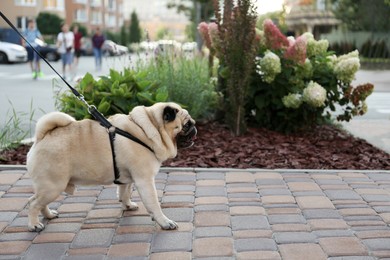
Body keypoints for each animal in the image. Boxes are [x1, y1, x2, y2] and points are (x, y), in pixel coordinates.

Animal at [27, 101, 197, 232]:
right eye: (186, 125)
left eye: (191, 123)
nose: (195, 128)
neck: (147, 130)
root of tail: (42, 137)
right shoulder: (145, 180)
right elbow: (154, 204)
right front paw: (164, 222)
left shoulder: (127, 177)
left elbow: (124, 192)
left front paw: (127, 205)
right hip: (53, 186)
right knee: (33, 203)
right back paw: (34, 224)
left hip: (49, 187)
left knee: (38, 202)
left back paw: (48, 215)